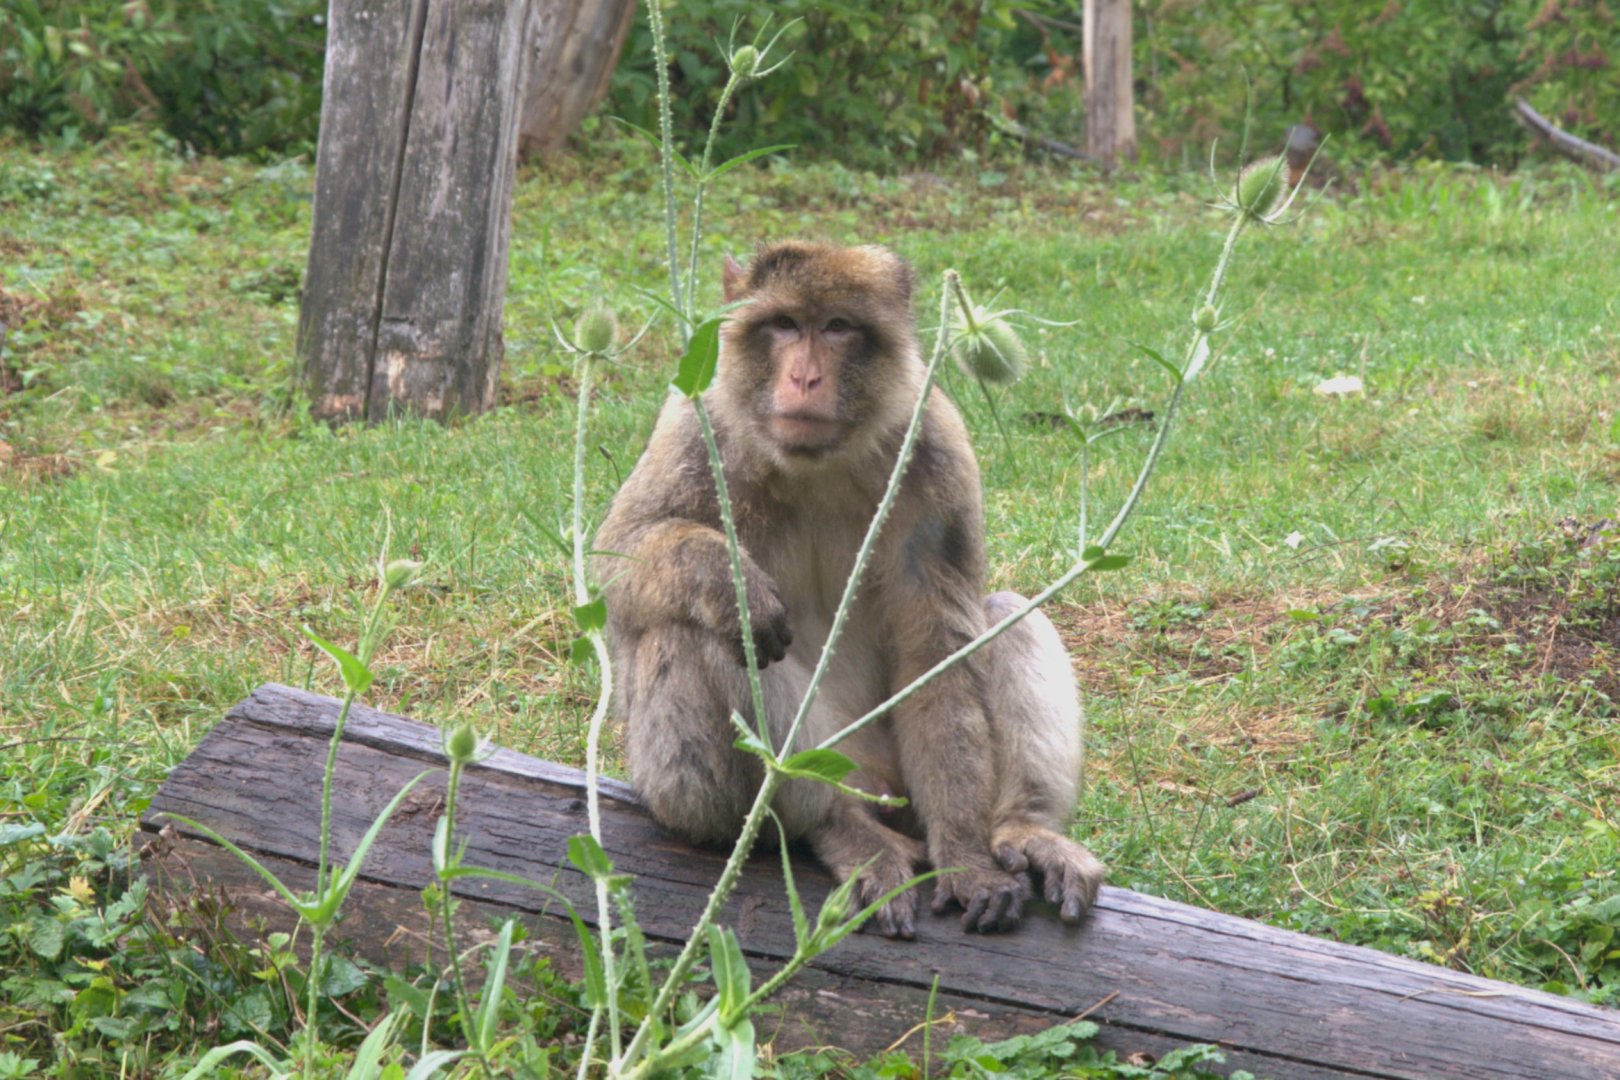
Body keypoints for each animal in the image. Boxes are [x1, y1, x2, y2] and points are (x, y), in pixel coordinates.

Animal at [594, 242, 1104, 937]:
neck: (817, 462)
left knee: (1009, 614)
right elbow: (617, 560)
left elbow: (937, 645)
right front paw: (729, 580)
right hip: (697, 790)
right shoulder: (696, 422)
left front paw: (967, 857)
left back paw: (1019, 829)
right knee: (700, 635)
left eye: (836, 327)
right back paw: (836, 828)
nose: (805, 379)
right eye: (784, 325)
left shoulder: (935, 446)